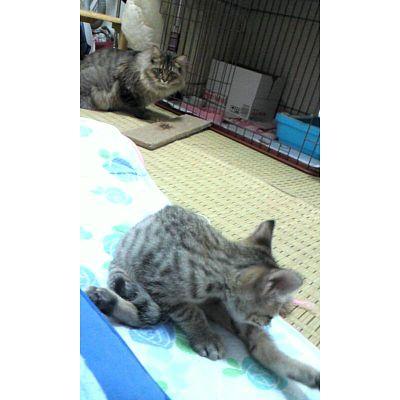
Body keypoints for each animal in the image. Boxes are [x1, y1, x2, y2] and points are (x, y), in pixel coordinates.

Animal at [86, 205, 320, 389]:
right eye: (268, 316)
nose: (268, 323)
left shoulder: (235, 317)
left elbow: (265, 348)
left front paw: (309, 374)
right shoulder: (159, 285)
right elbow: (190, 311)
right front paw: (206, 337)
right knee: (150, 312)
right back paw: (106, 299)